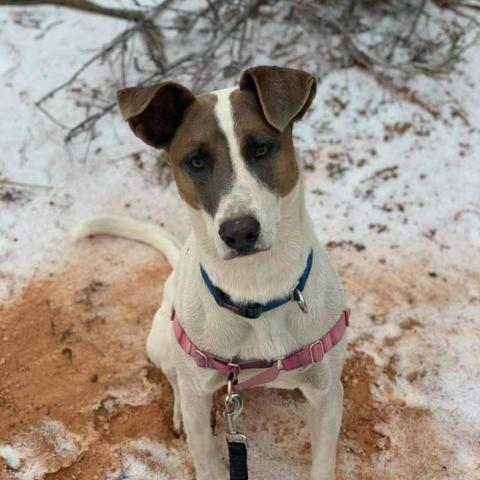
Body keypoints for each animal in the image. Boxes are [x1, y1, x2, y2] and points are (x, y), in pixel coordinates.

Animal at [71, 64, 346, 480]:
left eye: (261, 148)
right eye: (196, 161)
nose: (240, 232)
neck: (258, 289)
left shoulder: (328, 394)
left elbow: (323, 462)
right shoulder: (199, 391)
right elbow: (205, 455)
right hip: (162, 342)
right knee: (176, 381)